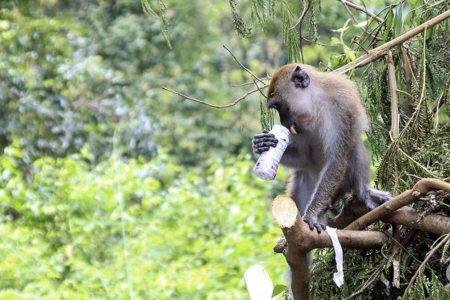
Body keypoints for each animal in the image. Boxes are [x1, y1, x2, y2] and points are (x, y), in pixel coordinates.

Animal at [253, 62, 390, 232]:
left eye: (278, 106)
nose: (283, 123)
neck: (315, 103)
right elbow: (304, 157)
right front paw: (261, 143)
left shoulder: (341, 109)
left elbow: (336, 160)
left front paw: (311, 215)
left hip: (341, 185)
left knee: (354, 148)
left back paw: (363, 191)